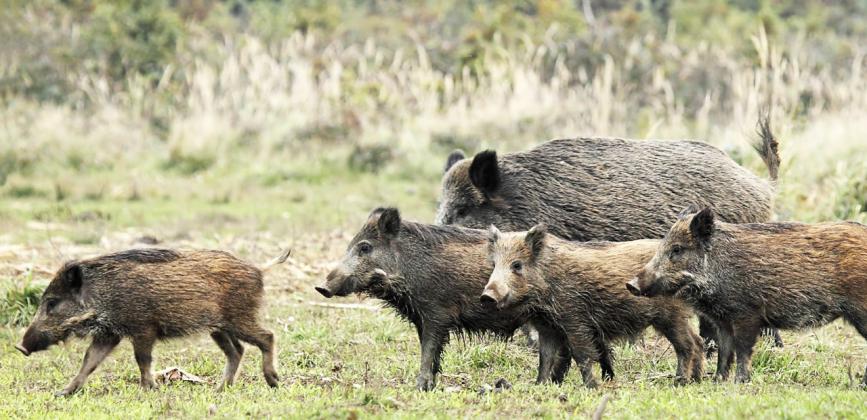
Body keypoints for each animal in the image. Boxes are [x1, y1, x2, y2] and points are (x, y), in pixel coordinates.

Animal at [15, 248, 290, 396]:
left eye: (52, 303)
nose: (21, 347)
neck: (104, 295)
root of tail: (258, 269)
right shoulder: (109, 334)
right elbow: (89, 362)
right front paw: (63, 393)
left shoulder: (143, 328)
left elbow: (142, 359)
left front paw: (149, 389)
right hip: (219, 328)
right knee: (237, 351)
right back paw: (220, 389)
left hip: (239, 318)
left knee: (267, 336)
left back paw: (273, 381)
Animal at [316, 207, 585, 391]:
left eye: (365, 247)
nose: (321, 287)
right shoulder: (421, 317)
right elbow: (431, 352)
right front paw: (430, 386)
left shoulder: (437, 313)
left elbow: (428, 350)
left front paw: (420, 387)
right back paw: (543, 385)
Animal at [484, 224, 705, 388]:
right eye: (494, 264)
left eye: (517, 265)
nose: (487, 296)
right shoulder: (547, 327)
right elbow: (545, 357)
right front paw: (540, 385)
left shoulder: (575, 320)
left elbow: (582, 354)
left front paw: (592, 386)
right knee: (698, 340)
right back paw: (696, 380)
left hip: (671, 315)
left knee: (687, 345)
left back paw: (680, 382)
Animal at [627, 206, 867, 385]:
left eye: (677, 249)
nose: (631, 285)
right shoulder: (722, 320)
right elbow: (725, 351)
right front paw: (718, 381)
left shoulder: (747, 314)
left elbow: (743, 348)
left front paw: (740, 382)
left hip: (861, 310)